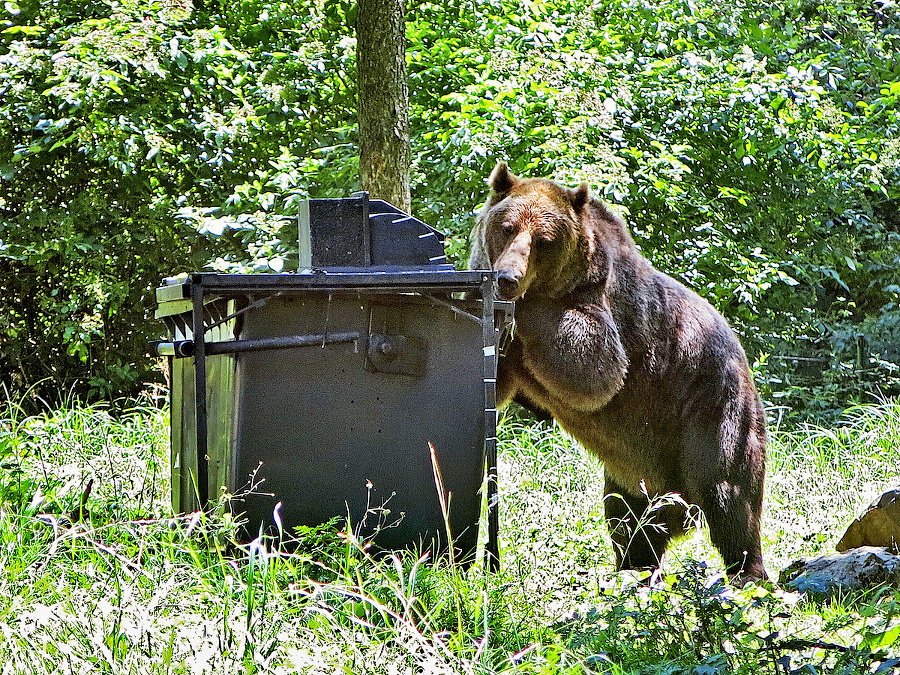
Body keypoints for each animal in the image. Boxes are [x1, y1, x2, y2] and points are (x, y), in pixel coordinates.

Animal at [472, 161, 768, 584]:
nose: (507, 278)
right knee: (628, 519)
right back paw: (635, 569)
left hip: (708, 405)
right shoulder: (508, 355)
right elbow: (488, 383)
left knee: (727, 492)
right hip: (635, 467)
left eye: (544, 240)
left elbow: (594, 367)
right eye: (507, 227)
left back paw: (747, 573)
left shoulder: (606, 308)